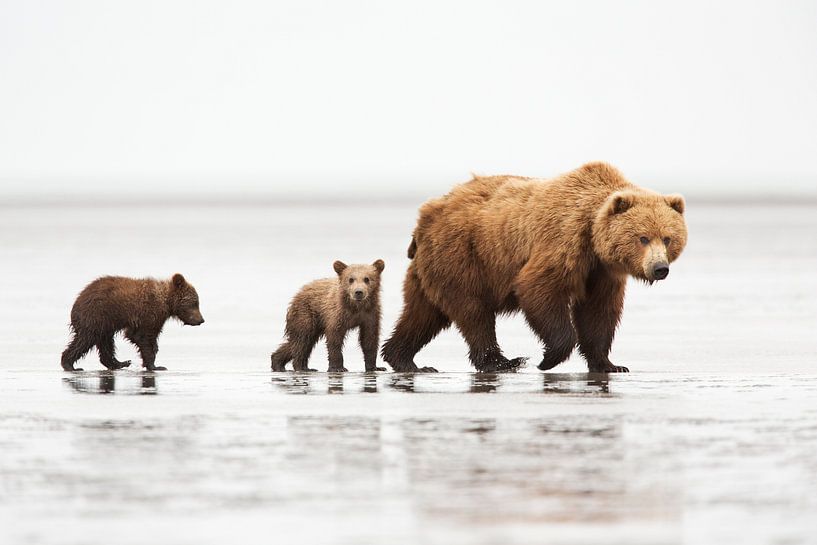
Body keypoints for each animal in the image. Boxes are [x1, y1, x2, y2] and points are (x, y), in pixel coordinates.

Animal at [61, 274, 205, 372]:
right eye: (195, 303)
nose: (201, 320)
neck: (166, 302)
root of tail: (78, 299)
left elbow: (141, 336)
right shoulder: (149, 314)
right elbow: (143, 337)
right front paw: (155, 365)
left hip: (106, 323)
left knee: (106, 343)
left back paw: (120, 363)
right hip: (96, 316)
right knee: (85, 340)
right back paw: (70, 365)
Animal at [381, 162, 687, 373]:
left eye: (667, 238)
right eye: (643, 238)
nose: (659, 268)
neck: (594, 237)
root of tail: (426, 215)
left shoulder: (602, 272)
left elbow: (599, 312)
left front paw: (610, 364)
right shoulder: (564, 241)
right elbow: (538, 287)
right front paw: (547, 359)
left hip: (430, 269)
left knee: (423, 314)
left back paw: (404, 359)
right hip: (463, 255)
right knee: (473, 312)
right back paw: (503, 362)